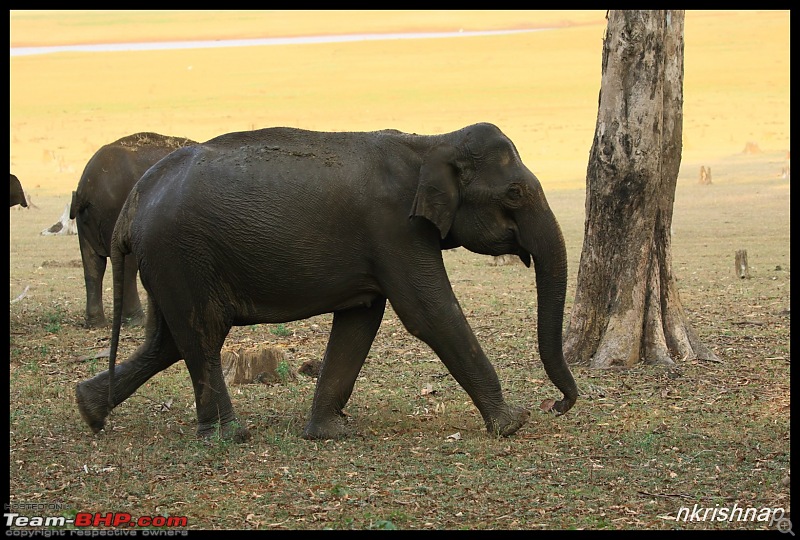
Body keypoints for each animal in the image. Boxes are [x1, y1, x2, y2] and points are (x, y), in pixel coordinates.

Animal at [71, 133, 198, 326]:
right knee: (126, 265)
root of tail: (86, 189)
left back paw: (96, 323)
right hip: (118, 213)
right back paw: (137, 320)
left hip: (85, 221)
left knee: (93, 265)